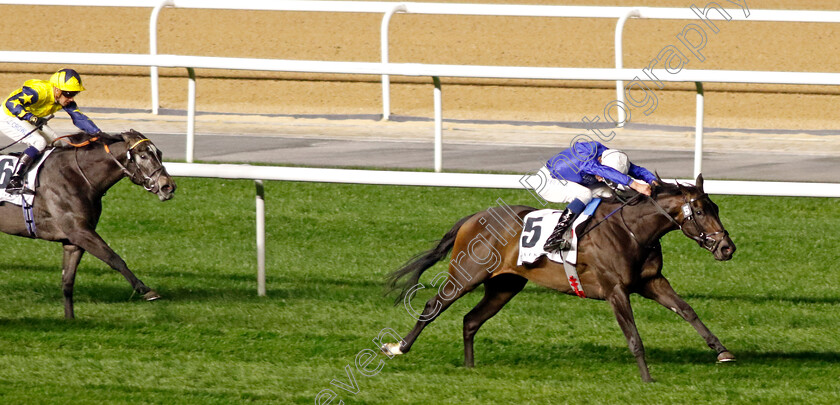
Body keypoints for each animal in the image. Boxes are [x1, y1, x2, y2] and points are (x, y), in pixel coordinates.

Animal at [0, 129, 176, 318]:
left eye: (159, 153)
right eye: (143, 155)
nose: (168, 186)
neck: (78, 177)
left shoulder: (73, 242)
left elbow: (67, 281)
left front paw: (70, 319)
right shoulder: (79, 232)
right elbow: (114, 258)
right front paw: (145, 289)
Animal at [388, 174, 736, 382]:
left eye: (716, 207)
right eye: (701, 211)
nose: (727, 248)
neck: (632, 230)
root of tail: (474, 218)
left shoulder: (651, 282)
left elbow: (687, 310)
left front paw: (722, 351)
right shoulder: (615, 290)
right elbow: (634, 336)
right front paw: (647, 378)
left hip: (505, 286)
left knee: (470, 320)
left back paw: (470, 366)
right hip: (466, 276)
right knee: (433, 306)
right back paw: (398, 348)